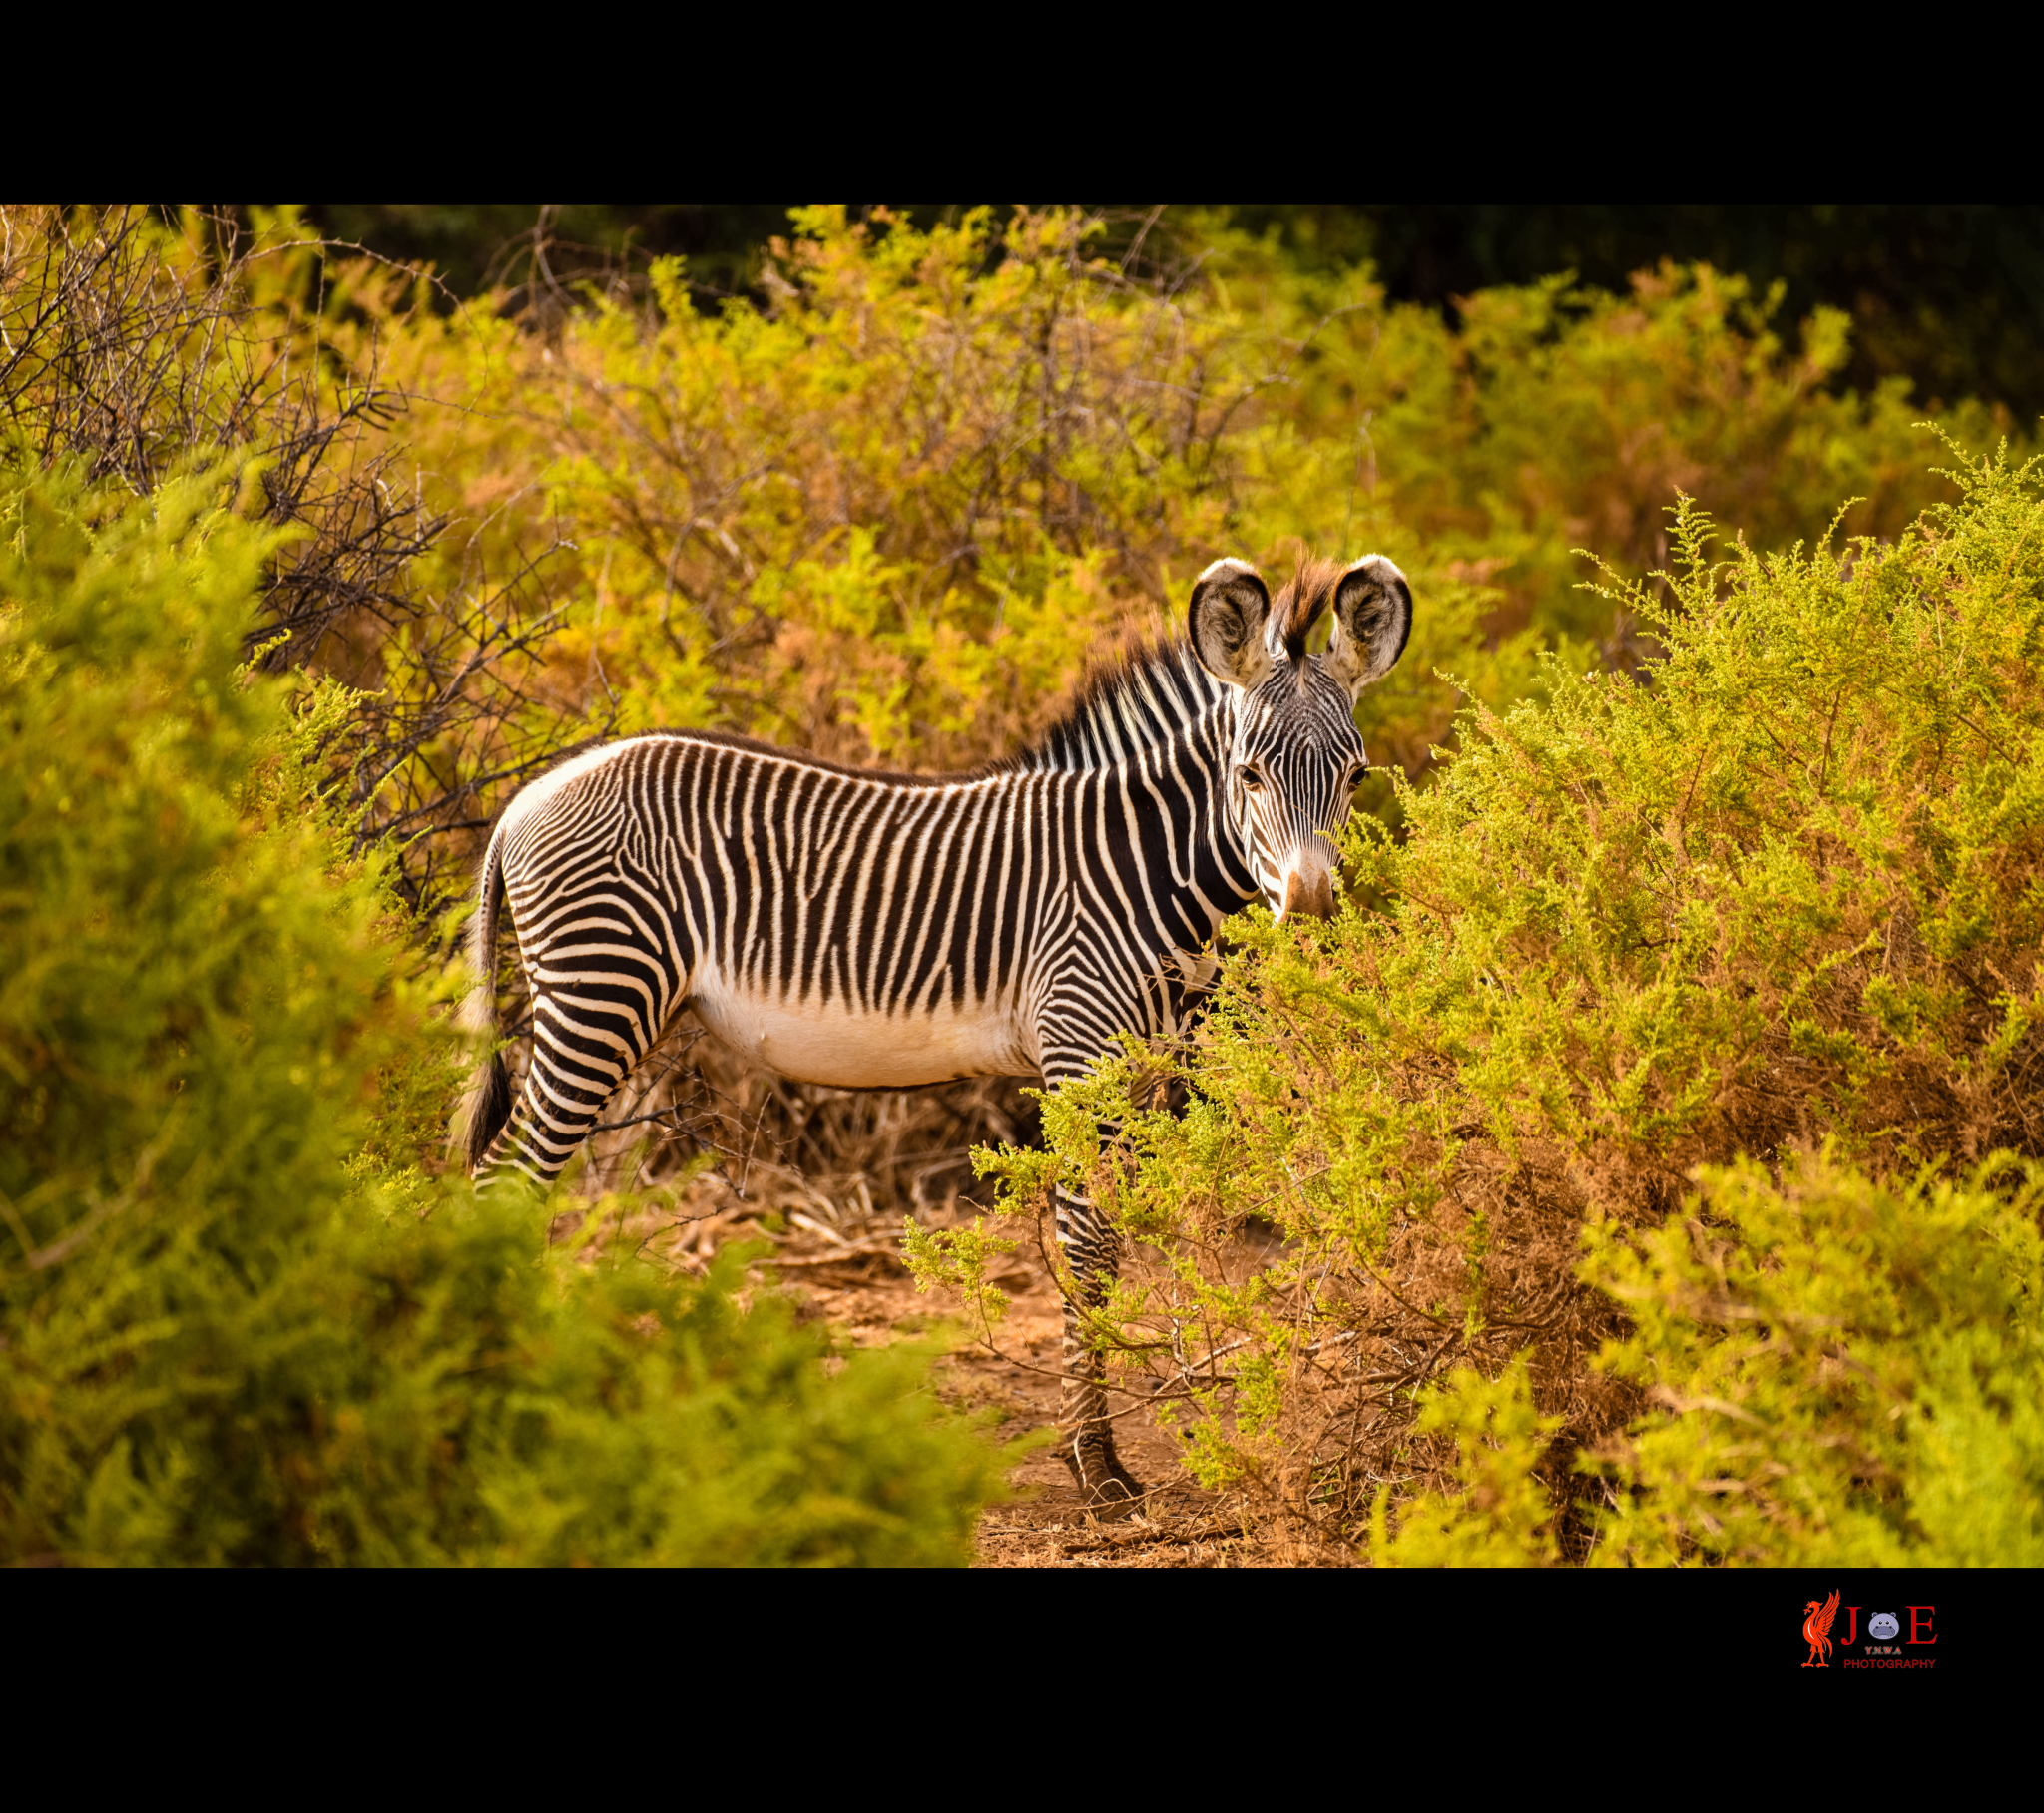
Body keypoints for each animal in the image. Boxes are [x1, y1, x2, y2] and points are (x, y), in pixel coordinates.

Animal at [455, 547, 1414, 1512]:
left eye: (1356, 778)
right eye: (1249, 775)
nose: (1312, 919)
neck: (1141, 865)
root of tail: (526, 798)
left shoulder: (1140, 1065)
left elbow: (1112, 1239)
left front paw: (1091, 1451)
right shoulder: (1080, 1044)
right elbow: (1088, 1242)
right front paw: (1096, 1464)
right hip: (601, 993)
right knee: (504, 1179)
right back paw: (498, 1409)